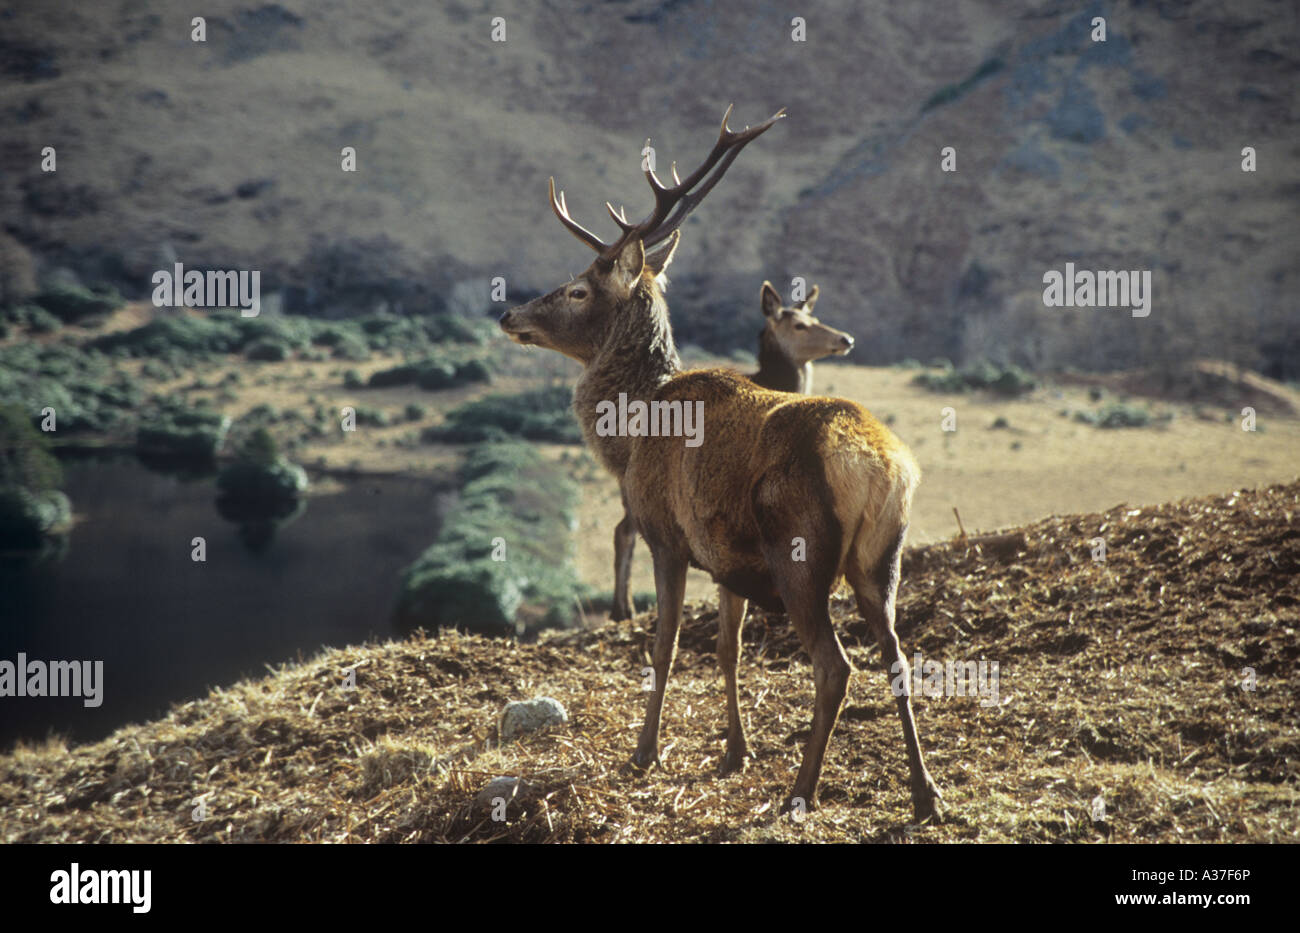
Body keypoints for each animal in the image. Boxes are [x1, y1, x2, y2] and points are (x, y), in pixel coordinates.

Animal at [610, 281, 854, 621]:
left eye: (814, 317)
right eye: (799, 325)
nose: (845, 339)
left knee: (622, 530)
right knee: (625, 532)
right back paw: (623, 609)